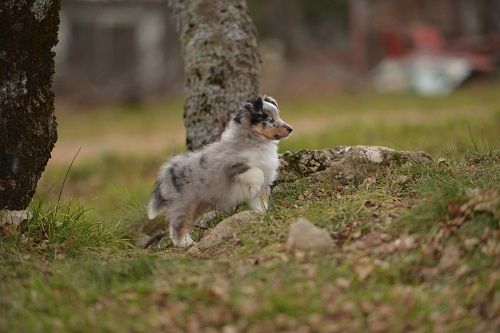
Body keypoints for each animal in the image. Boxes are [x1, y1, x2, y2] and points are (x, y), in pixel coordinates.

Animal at [146, 94, 292, 245]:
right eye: (270, 120)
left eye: (278, 115)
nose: (290, 129)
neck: (253, 140)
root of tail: (168, 170)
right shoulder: (232, 168)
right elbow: (257, 172)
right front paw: (253, 188)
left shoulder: (264, 185)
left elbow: (260, 203)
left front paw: (260, 216)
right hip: (184, 203)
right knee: (177, 225)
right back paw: (187, 244)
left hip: (198, 204)